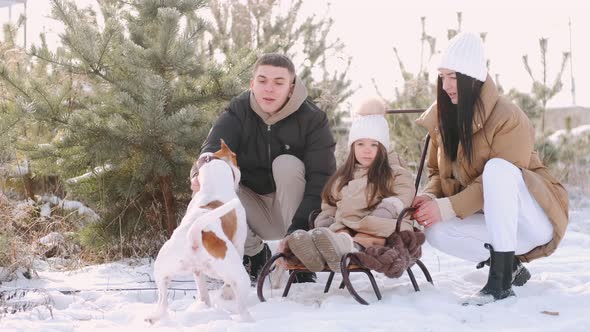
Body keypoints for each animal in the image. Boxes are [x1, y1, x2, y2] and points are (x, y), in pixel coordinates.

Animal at [147, 141, 253, 322]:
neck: (212, 187)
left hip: (163, 272)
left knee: (163, 300)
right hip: (238, 276)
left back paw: (155, 318)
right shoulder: (239, 244)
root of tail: (195, 235)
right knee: (240, 304)